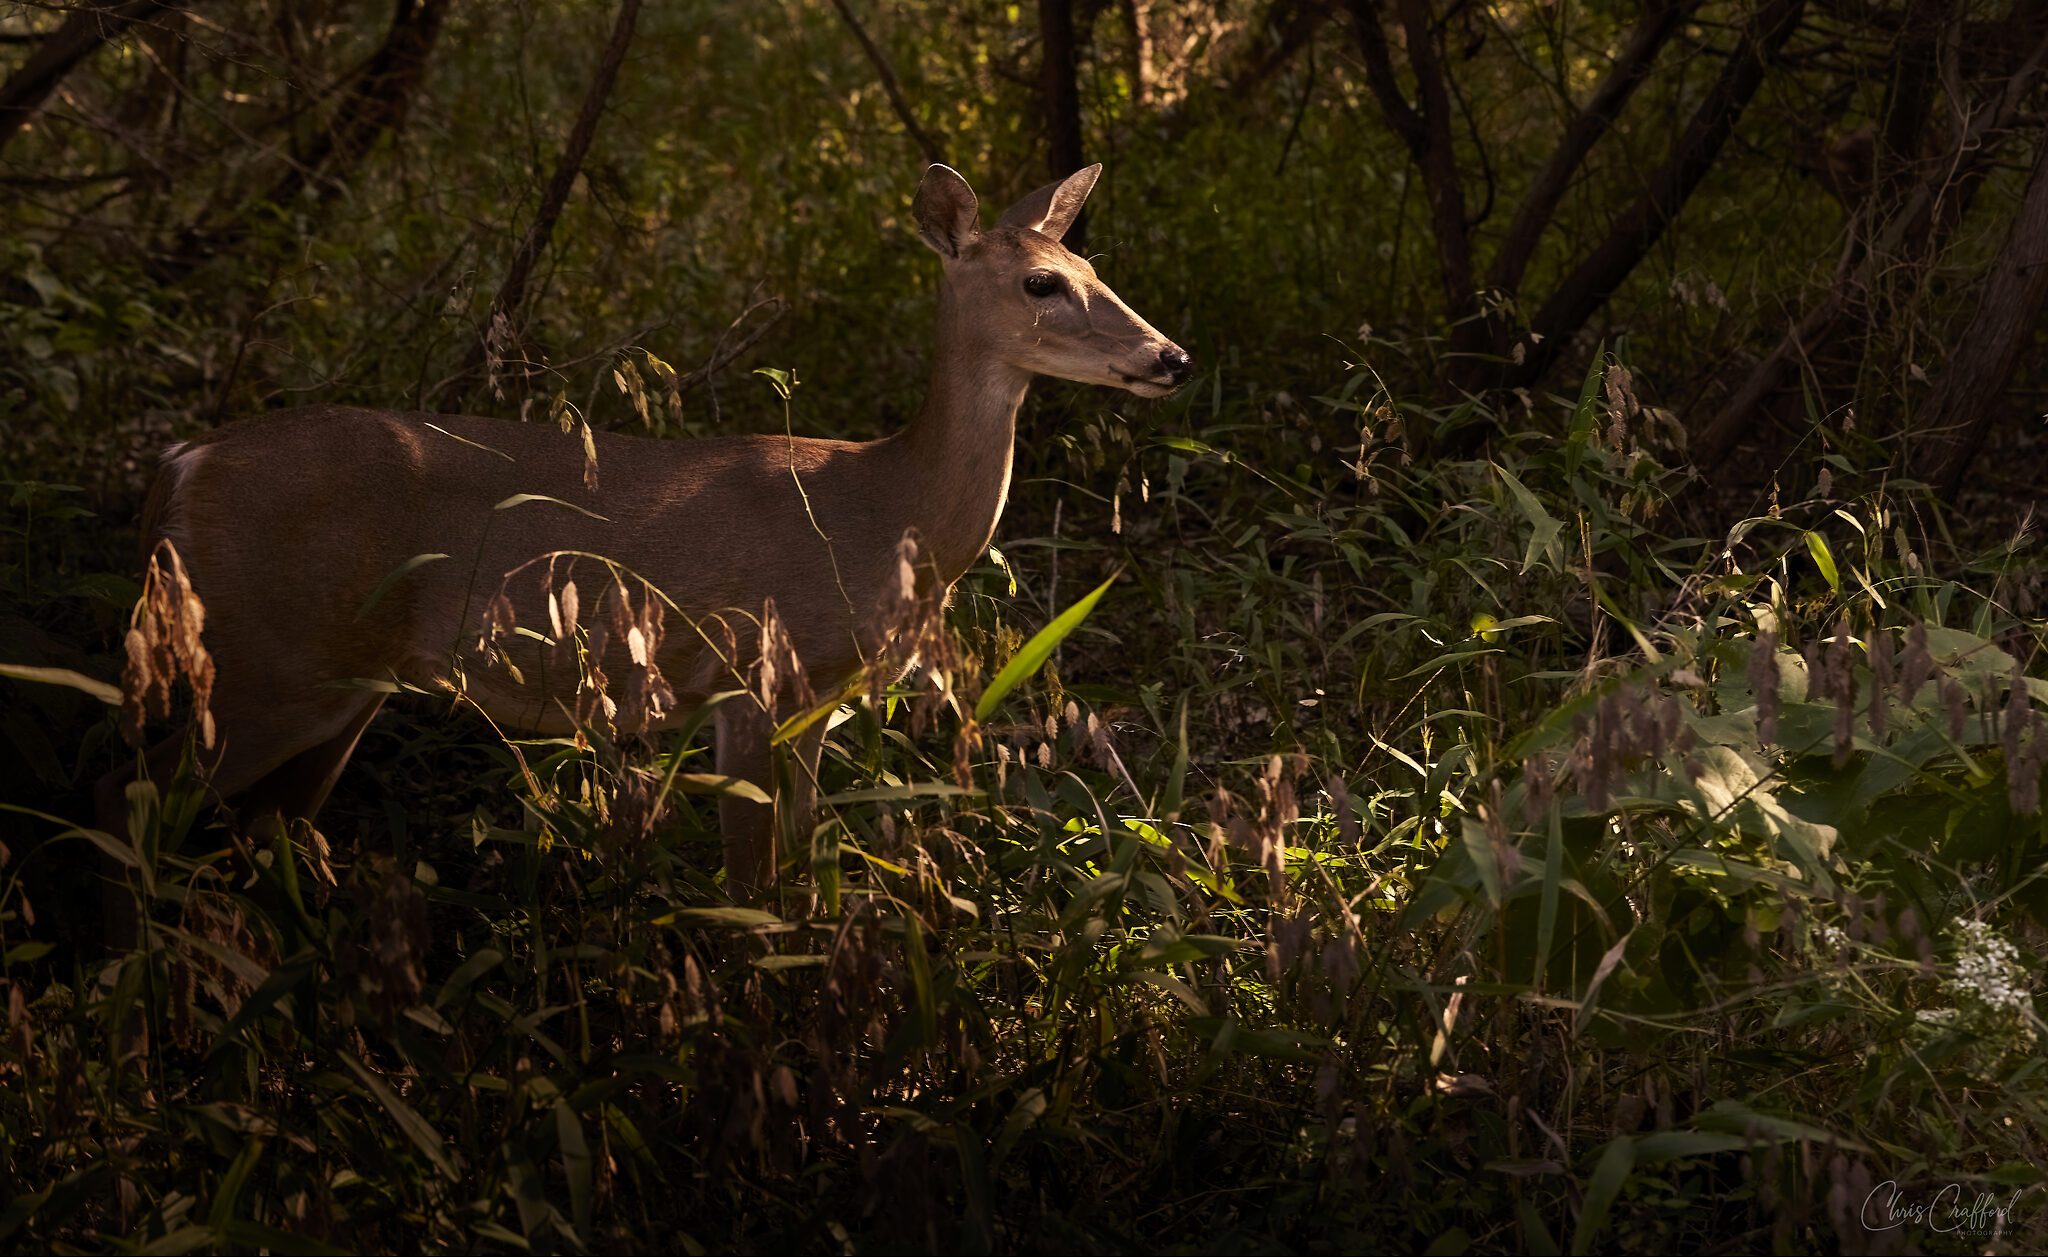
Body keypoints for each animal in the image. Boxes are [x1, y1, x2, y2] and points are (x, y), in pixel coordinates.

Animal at [96, 164, 1196, 904]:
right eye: (1042, 284)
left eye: (1087, 261)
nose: (1170, 357)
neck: (881, 506)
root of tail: (180, 464)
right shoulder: (753, 677)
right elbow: (752, 892)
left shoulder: (815, 705)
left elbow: (801, 879)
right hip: (260, 662)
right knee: (131, 808)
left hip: (338, 685)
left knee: (261, 832)